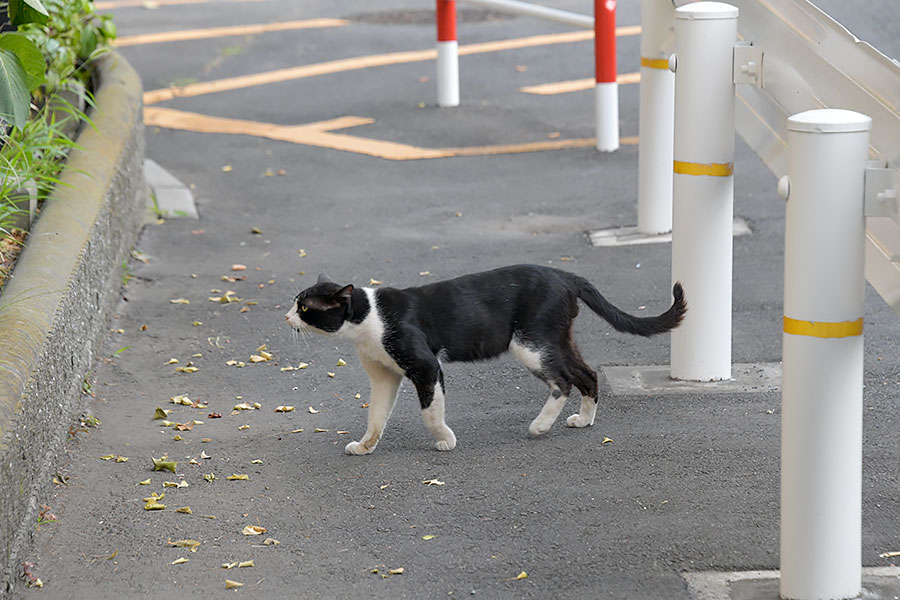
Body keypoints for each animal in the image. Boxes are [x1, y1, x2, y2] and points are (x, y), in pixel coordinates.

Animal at [284, 264, 684, 454]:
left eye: (304, 308)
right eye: (295, 302)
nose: (286, 317)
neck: (369, 320)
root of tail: (566, 276)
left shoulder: (426, 366)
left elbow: (430, 412)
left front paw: (445, 439)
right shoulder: (384, 375)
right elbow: (376, 416)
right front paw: (365, 446)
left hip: (530, 344)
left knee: (563, 380)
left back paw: (540, 426)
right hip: (555, 339)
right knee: (587, 373)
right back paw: (583, 420)